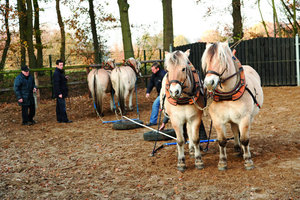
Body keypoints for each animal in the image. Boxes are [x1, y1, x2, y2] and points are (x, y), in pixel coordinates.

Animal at [200, 42, 264, 170]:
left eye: (221, 59)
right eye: (206, 61)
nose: (209, 83)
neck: (228, 95)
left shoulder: (244, 118)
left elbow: (244, 139)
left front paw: (248, 160)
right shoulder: (217, 121)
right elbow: (222, 141)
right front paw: (222, 162)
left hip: (250, 116)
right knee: (234, 129)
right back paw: (237, 147)